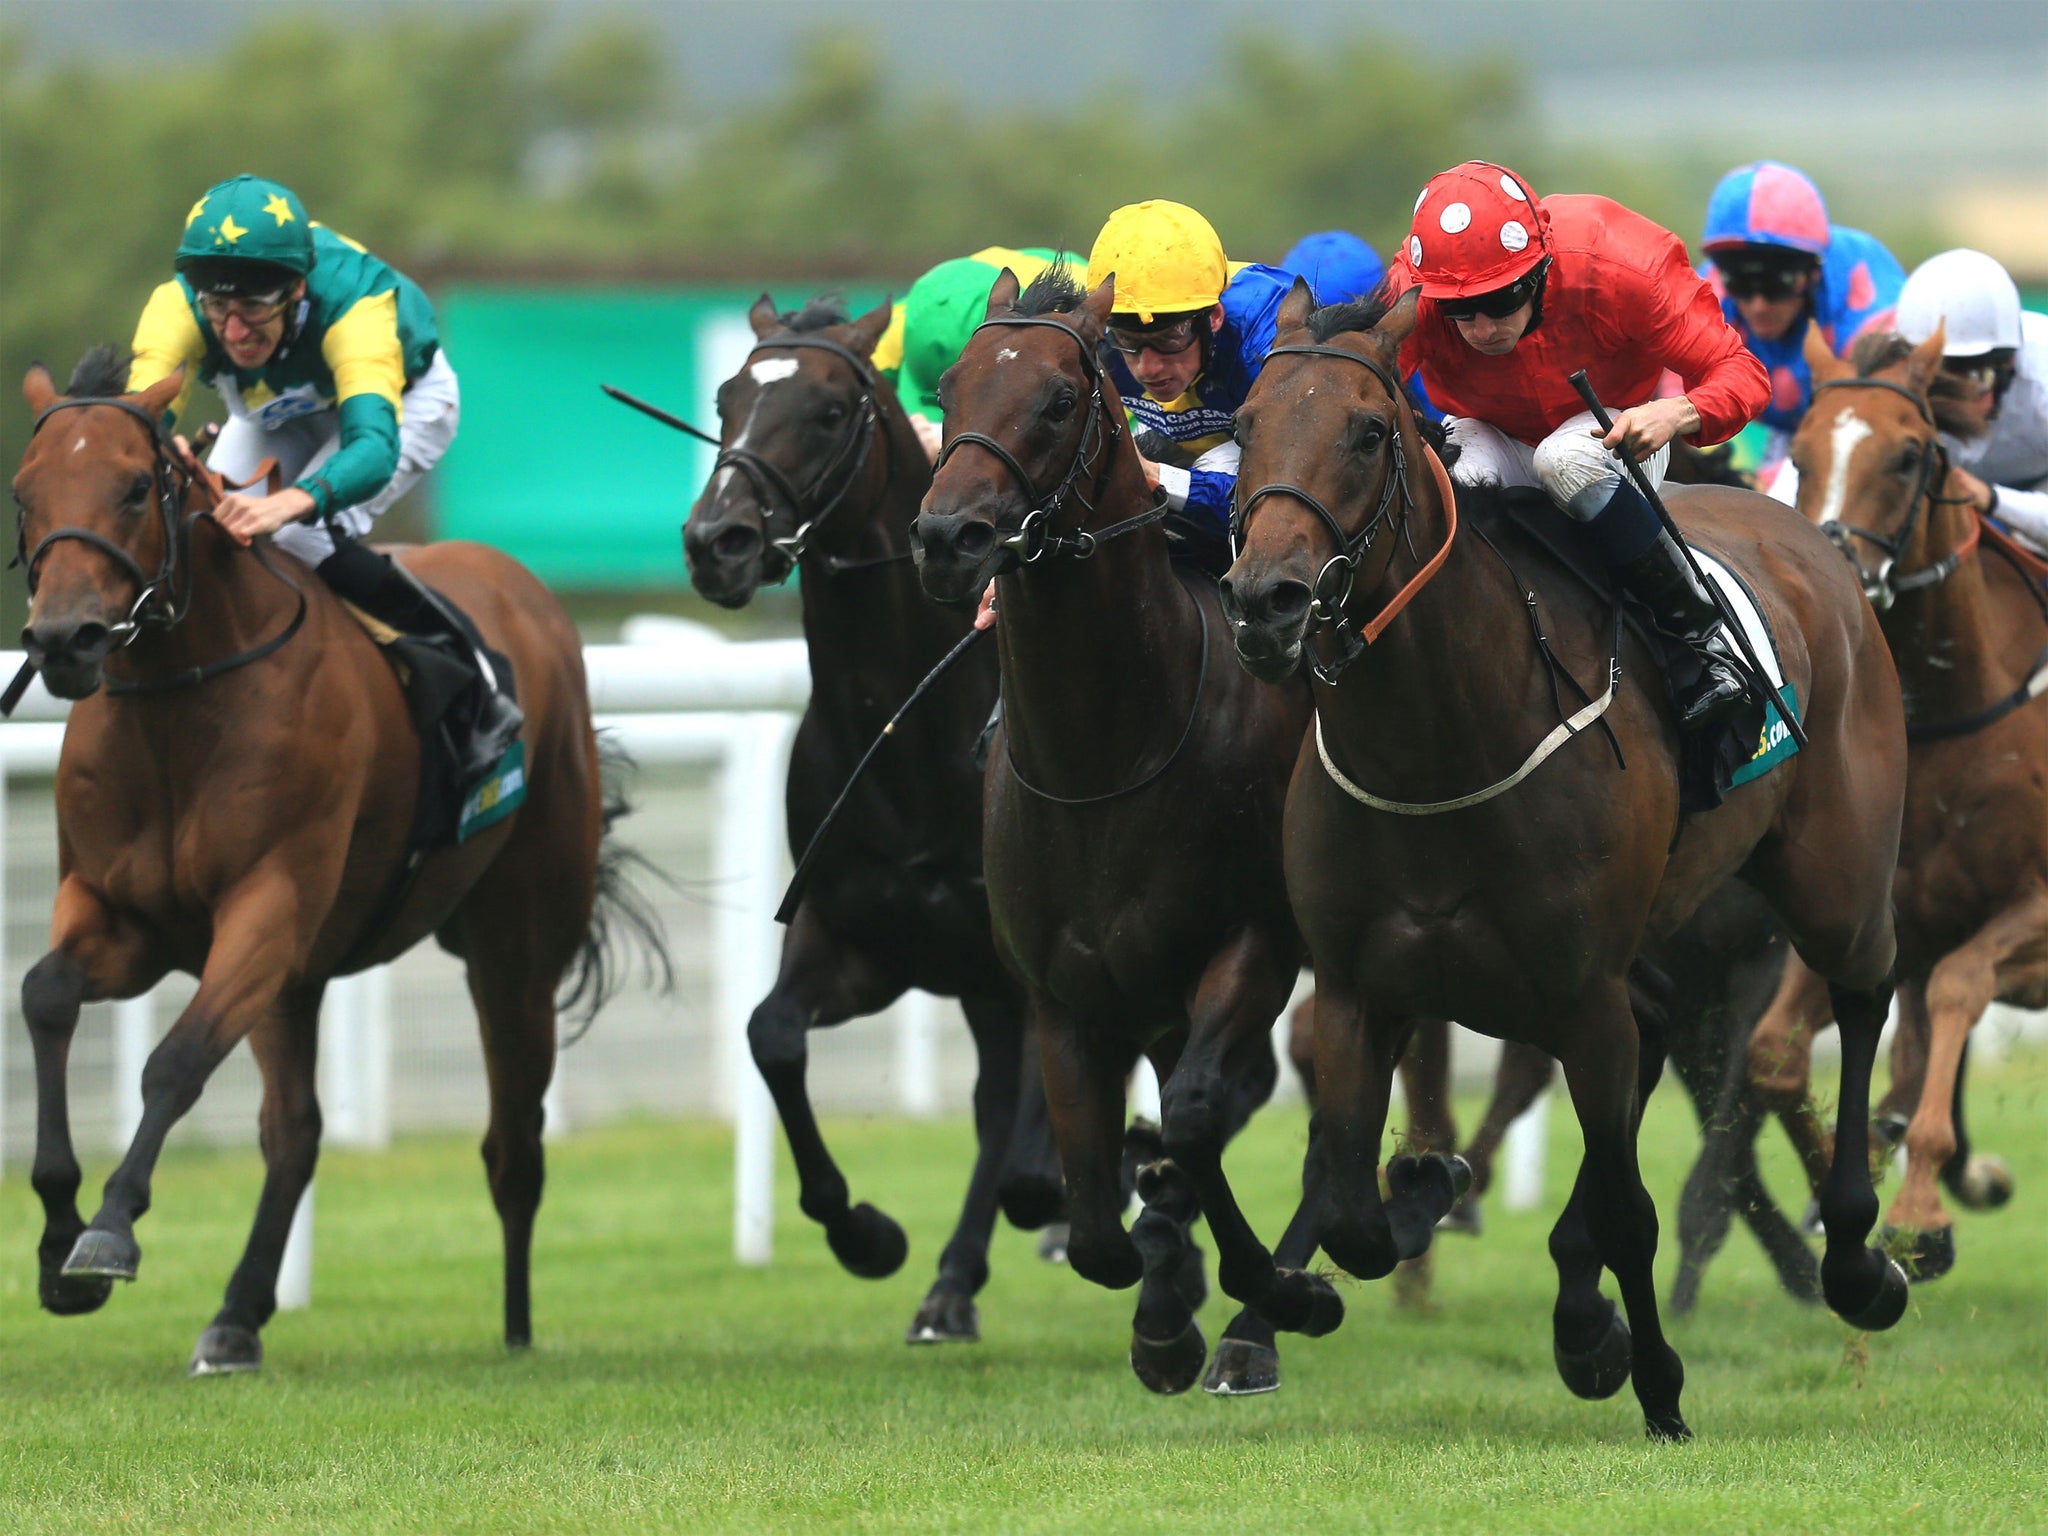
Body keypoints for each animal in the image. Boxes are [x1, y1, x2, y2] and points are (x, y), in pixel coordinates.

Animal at [14, 352, 663, 1384]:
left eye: (133, 487)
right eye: (24, 493)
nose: (62, 640)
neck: (181, 704)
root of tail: (522, 589)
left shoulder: (268, 910)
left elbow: (176, 1062)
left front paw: (108, 1230)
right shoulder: (123, 915)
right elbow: (46, 995)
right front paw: (54, 1246)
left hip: (515, 950)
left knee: (512, 1143)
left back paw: (518, 1326)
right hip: (302, 981)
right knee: (295, 1132)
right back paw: (236, 1318)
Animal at [675, 290, 1064, 1343]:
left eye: (825, 412)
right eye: (727, 399)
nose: (717, 541)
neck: (915, 737)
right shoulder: (860, 934)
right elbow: (771, 1034)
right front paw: (866, 1234)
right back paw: (952, 1283)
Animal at [913, 270, 1327, 1400]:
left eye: (1060, 399)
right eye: (952, 387)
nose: (948, 537)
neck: (1102, 760)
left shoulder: (1251, 945)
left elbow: (1193, 1115)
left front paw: (1255, 1300)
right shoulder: (1064, 991)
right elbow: (1100, 1220)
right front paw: (1162, 1297)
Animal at [1212, 286, 1900, 1441]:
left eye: (1367, 430)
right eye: (1247, 422)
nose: (1266, 600)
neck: (1439, 744)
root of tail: (1804, 532)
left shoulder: (1581, 994)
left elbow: (1629, 1212)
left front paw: (1657, 1386)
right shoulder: (1359, 987)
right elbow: (1351, 1207)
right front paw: (1409, 1204)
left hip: (1831, 878)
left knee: (1859, 997)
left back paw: (1857, 1260)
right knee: (1670, 1026)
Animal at [1736, 327, 2039, 1286]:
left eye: (1909, 455)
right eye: (1799, 453)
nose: (1833, 564)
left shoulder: (2037, 914)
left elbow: (1960, 987)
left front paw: (1916, 1210)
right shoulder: (1865, 907)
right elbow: (1775, 1055)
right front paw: (1863, 1199)